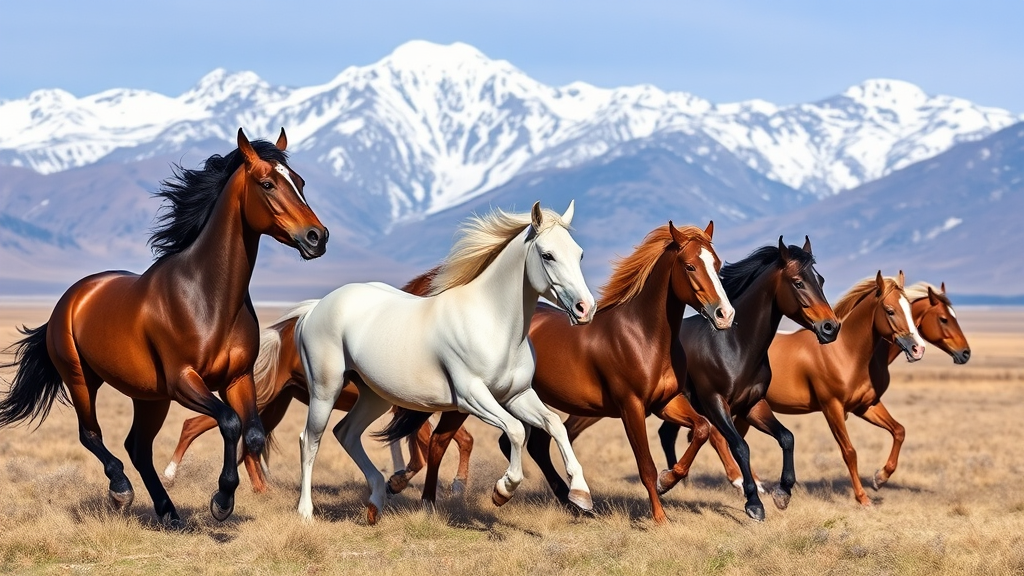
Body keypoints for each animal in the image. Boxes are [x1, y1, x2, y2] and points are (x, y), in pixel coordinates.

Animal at [0, 127, 327, 522]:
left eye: (300, 181)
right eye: (267, 184)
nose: (317, 237)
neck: (208, 297)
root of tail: (72, 297)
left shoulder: (238, 378)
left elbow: (252, 434)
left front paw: (226, 497)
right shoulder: (183, 380)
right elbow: (229, 422)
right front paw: (222, 500)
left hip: (149, 397)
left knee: (138, 447)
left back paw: (167, 510)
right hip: (80, 378)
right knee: (91, 435)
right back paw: (122, 490)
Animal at [296, 199, 598, 522]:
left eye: (579, 253)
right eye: (547, 255)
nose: (585, 309)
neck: (492, 323)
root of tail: (315, 308)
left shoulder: (517, 395)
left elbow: (554, 424)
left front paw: (581, 495)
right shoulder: (472, 397)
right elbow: (516, 430)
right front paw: (503, 491)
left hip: (374, 396)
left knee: (347, 433)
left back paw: (377, 500)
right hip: (325, 390)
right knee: (310, 440)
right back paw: (306, 512)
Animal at [399, 220, 737, 520]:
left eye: (717, 264)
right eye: (690, 266)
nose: (725, 315)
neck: (643, 336)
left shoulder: (665, 402)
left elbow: (703, 428)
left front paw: (670, 480)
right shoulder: (631, 407)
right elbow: (646, 466)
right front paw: (660, 516)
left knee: (532, 444)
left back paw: (570, 499)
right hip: (469, 400)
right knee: (440, 441)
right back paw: (428, 502)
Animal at [528, 237, 839, 520]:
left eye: (821, 280)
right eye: (798, 282)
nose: (830, 327)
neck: (736, 346)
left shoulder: (753, 405)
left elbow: (786, 437)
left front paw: (782, 493)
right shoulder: (713, 402)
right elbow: (738, 444)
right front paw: (753, 502)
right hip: (590, 407)